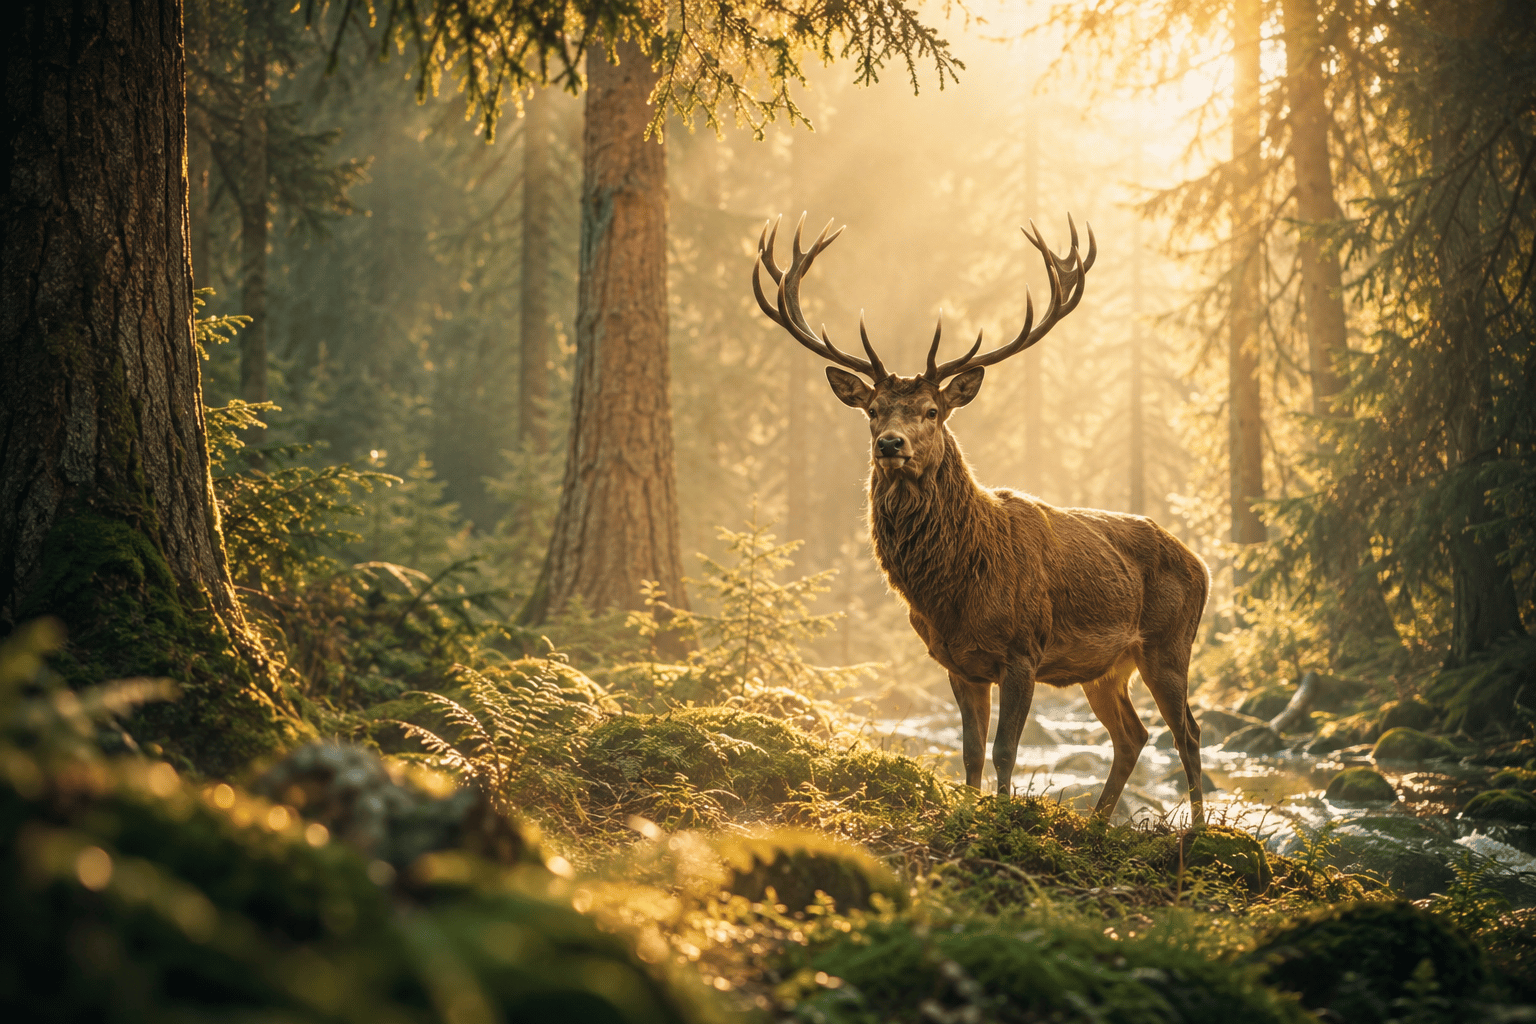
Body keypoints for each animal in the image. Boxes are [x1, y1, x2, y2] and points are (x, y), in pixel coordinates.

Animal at [753, 214, 1209, 825]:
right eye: (873, 410)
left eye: (932, 411)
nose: (890, 444)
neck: (955, 588)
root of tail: (1201, 562)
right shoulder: (958, 661)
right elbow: (969, 750)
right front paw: (968, 812)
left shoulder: (1023, 649)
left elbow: (1005, 749)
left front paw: (1004, 815)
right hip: (1108, 666)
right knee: (1132, 735)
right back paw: (1098, 821)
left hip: (1169, 642)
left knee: (1187, 733)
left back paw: (1200, 829)